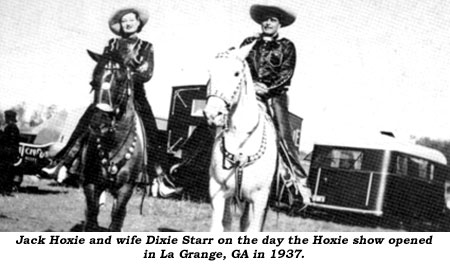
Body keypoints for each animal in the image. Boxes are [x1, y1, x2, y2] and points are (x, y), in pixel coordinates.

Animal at [80, 50, 145, 230]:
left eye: (121, 81)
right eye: (93, 82)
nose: (98, 123)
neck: (113, 144)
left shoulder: (125, 189)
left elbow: (116, 219)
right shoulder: (91, 183)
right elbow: (92, 216)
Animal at [203, 42, 278, 230]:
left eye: (236, 73)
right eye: (210, 72)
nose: (212, 114)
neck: (241, 141)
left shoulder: (259, 200)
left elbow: (252, 229)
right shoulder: (218, 191)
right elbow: (218, 227)